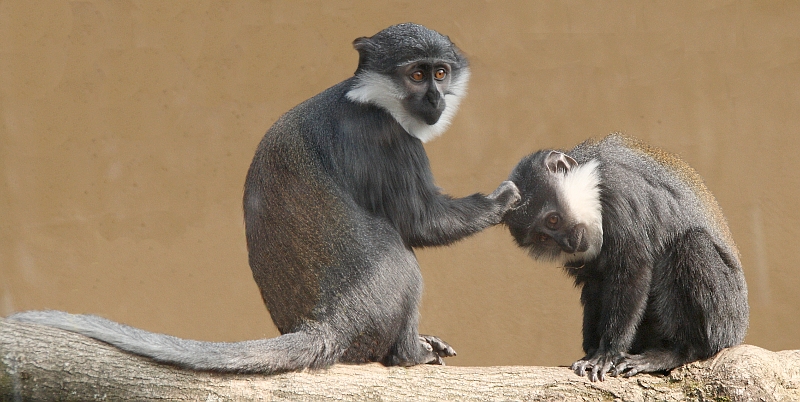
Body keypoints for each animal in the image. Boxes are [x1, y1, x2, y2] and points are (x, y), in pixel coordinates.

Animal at [9, 22, 520, 374]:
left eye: (441, 72)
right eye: (416, 75)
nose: (435, 98)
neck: (369, 97)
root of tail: (325, 325)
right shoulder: (385, 138)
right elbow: (422, 222)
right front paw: (503, 199)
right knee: (405, 263)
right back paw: (409, 354)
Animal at [504, 133, 748, 382]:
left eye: (553, 220)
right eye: (543, 238)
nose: (566, 243)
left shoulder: (618, 191)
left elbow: (632, 270)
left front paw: (606, 353)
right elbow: (594, 283)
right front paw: (592, 351)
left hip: (725, 320)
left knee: (692, 244)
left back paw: (679, 352)